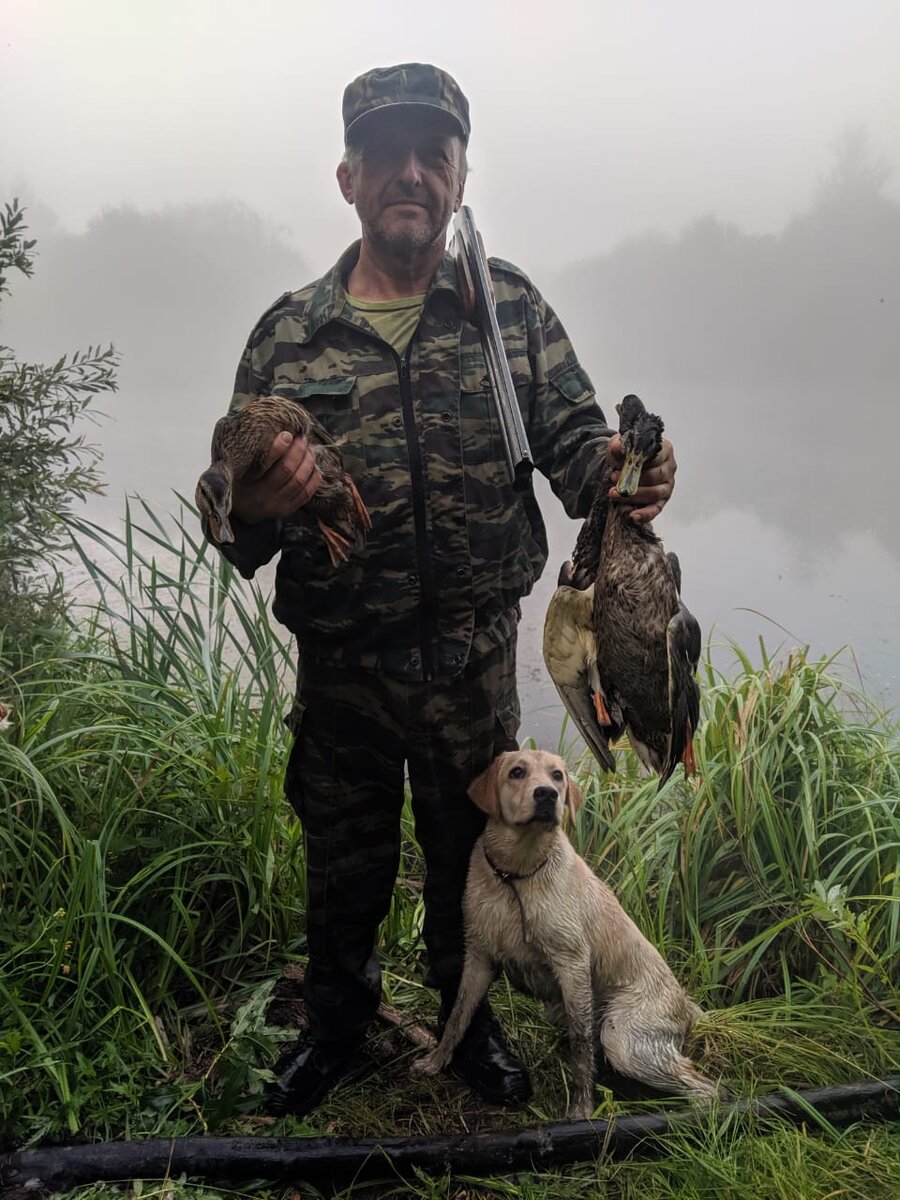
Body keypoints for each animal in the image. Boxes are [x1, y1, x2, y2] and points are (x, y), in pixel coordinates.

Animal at [415, 744, 720, 1118]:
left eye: (557, 775)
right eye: (516, 772)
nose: (547, 794)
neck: (517, 875)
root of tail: (687, 1006)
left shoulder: (572, 964)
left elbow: (580, 1044)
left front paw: (581, 1110)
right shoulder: (478, 958)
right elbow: (458, 1017)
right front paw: (436, 1061)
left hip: (624, 1038)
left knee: (706, 1088)